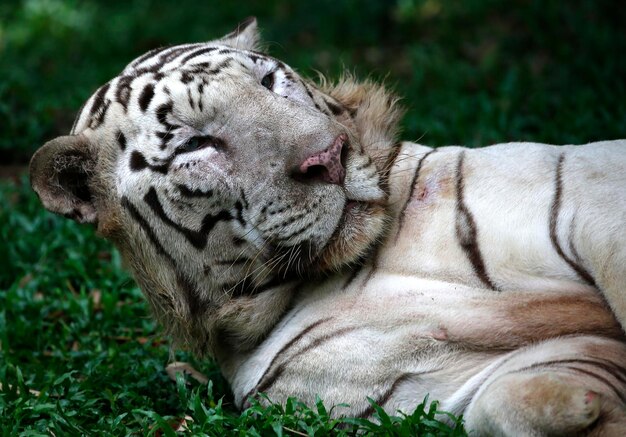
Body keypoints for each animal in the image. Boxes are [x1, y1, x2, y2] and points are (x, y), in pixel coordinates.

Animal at [29, 18, 624, 434]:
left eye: (270, 81)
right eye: (195, 144)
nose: (329, 156)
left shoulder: (581, 192)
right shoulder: (440, 389)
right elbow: (502, 402)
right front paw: (584, 408)